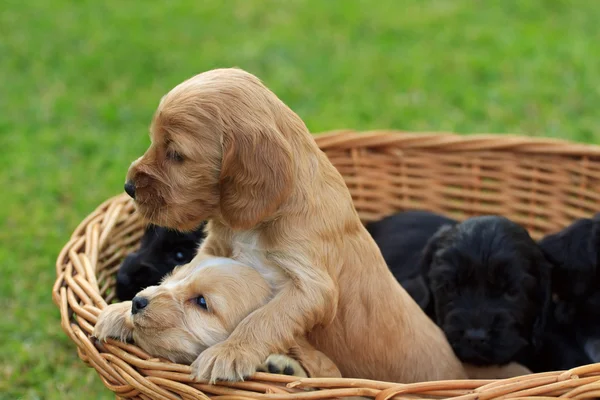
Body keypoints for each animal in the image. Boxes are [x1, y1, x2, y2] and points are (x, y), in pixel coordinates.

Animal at [124, 67, 466, 382]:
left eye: (176, 154)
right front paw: (123, 309)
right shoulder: (215, 250)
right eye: (154, 142)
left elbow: (264, 317)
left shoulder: (312, 285)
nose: (128, 187)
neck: (254, 226)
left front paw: (228, 352)